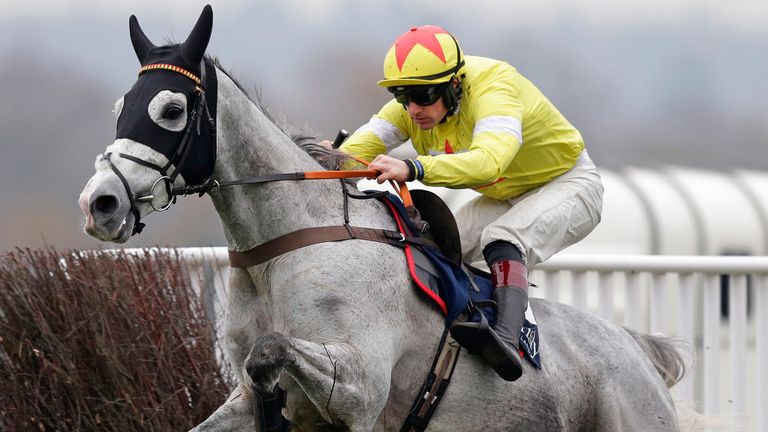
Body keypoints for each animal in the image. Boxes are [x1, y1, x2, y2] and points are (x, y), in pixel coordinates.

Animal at [81, 6, 688, 432]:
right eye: (119, 107)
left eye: (171, 109)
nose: (100, 203)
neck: (282, 249)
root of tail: (641, 352)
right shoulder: (240, 402)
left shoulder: (358, 388)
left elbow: (270, 350)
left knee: (505, 240)